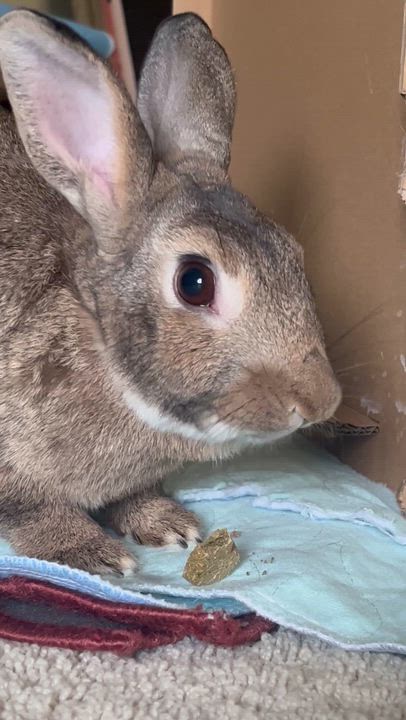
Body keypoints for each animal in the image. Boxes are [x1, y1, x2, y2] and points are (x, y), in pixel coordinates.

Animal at [0, 9, 341, 575]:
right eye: (195, 283)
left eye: (293, 253)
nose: (320, 401)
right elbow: (35, 513)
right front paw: (91, 554)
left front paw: (166, 524)